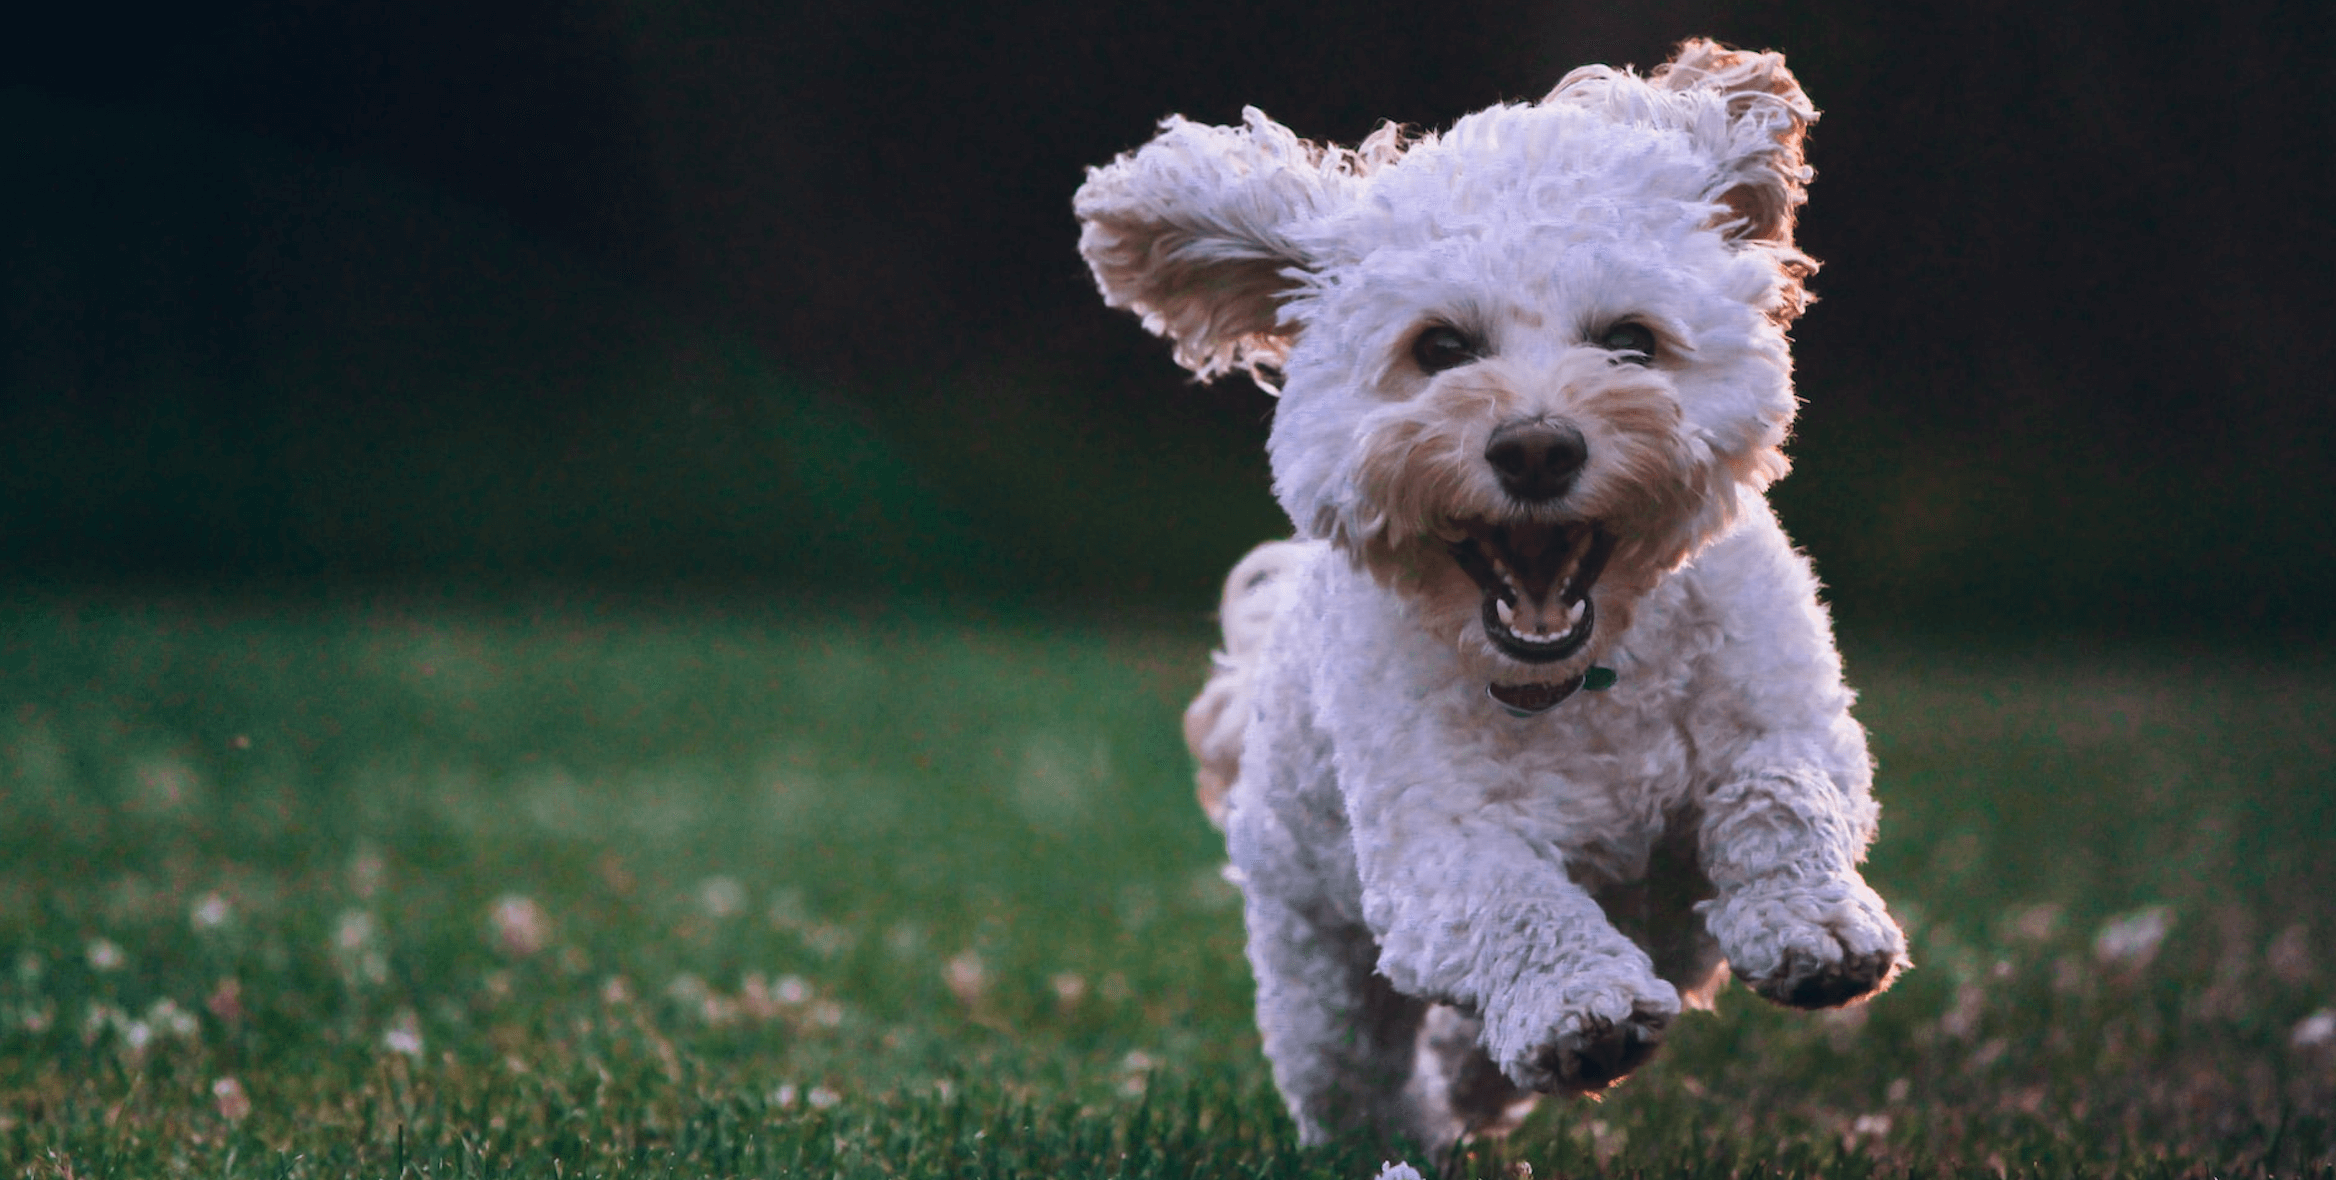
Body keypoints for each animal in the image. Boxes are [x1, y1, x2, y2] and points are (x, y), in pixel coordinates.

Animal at [1083, 41, 1906, 1154]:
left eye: (1630, 340)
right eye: (1438, 348)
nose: (1537, 448)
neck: (1584, 678)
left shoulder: (1789, 716)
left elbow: (1779, 791)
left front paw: (1813, 926)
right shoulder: (1432, 846)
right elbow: (1511, 899)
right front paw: (1579, 1010)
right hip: (1313, 951)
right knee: (1349, 1064)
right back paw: (1408, 1131)